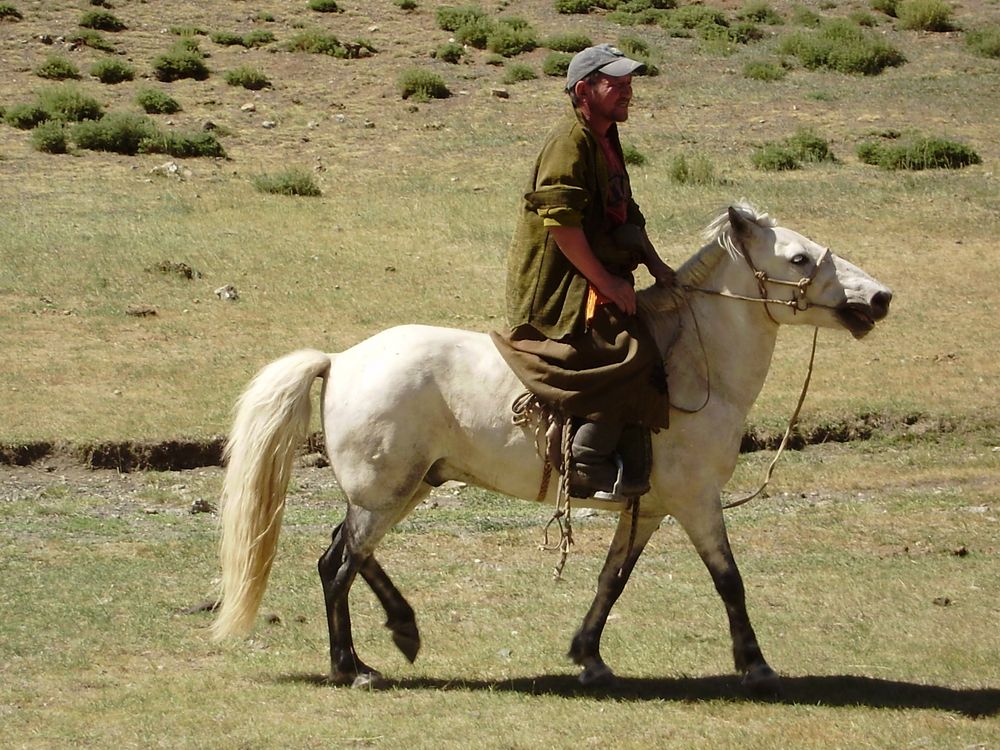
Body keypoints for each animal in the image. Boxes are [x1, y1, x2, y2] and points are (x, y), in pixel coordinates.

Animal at [211, 204, 892, 692]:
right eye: (799, 258)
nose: (880, 297)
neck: (694, 369)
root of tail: (341, 358)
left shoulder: (648, 509)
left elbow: (613, 579)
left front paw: (588, 657)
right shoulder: (697, 502)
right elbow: (730, 580)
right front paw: (755, 666)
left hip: (408, 484)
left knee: (350, 554)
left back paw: (402, 631)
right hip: (386, 493)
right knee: (337, 564)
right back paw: (351, 667)